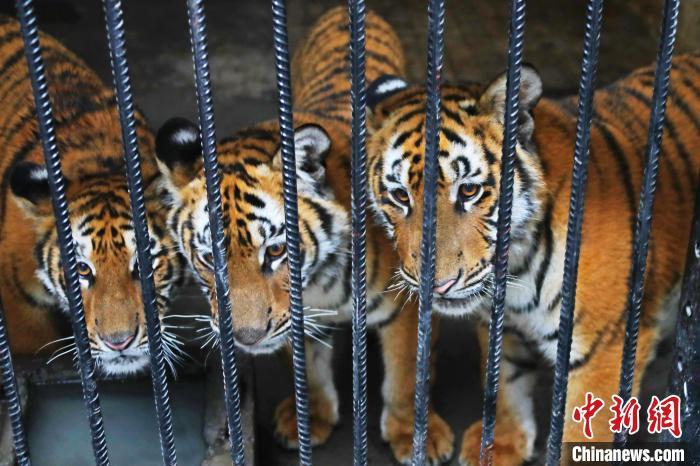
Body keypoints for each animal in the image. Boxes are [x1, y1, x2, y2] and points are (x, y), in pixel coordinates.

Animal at [154, 7, 454, 464]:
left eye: (276, 251)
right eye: (208, 259)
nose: (246, 338)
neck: (319, 283)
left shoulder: (408, 302)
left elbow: (407, 373)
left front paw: (414, 436)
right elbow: (308, 371)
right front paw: (308, 421)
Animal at [364, 52, 700, 464]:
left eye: (470, 191)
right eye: (400, 196)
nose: (436, 286)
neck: (519, 268)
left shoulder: (604, 347)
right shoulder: (503, 324)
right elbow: (505, 384)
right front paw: (501, 444)